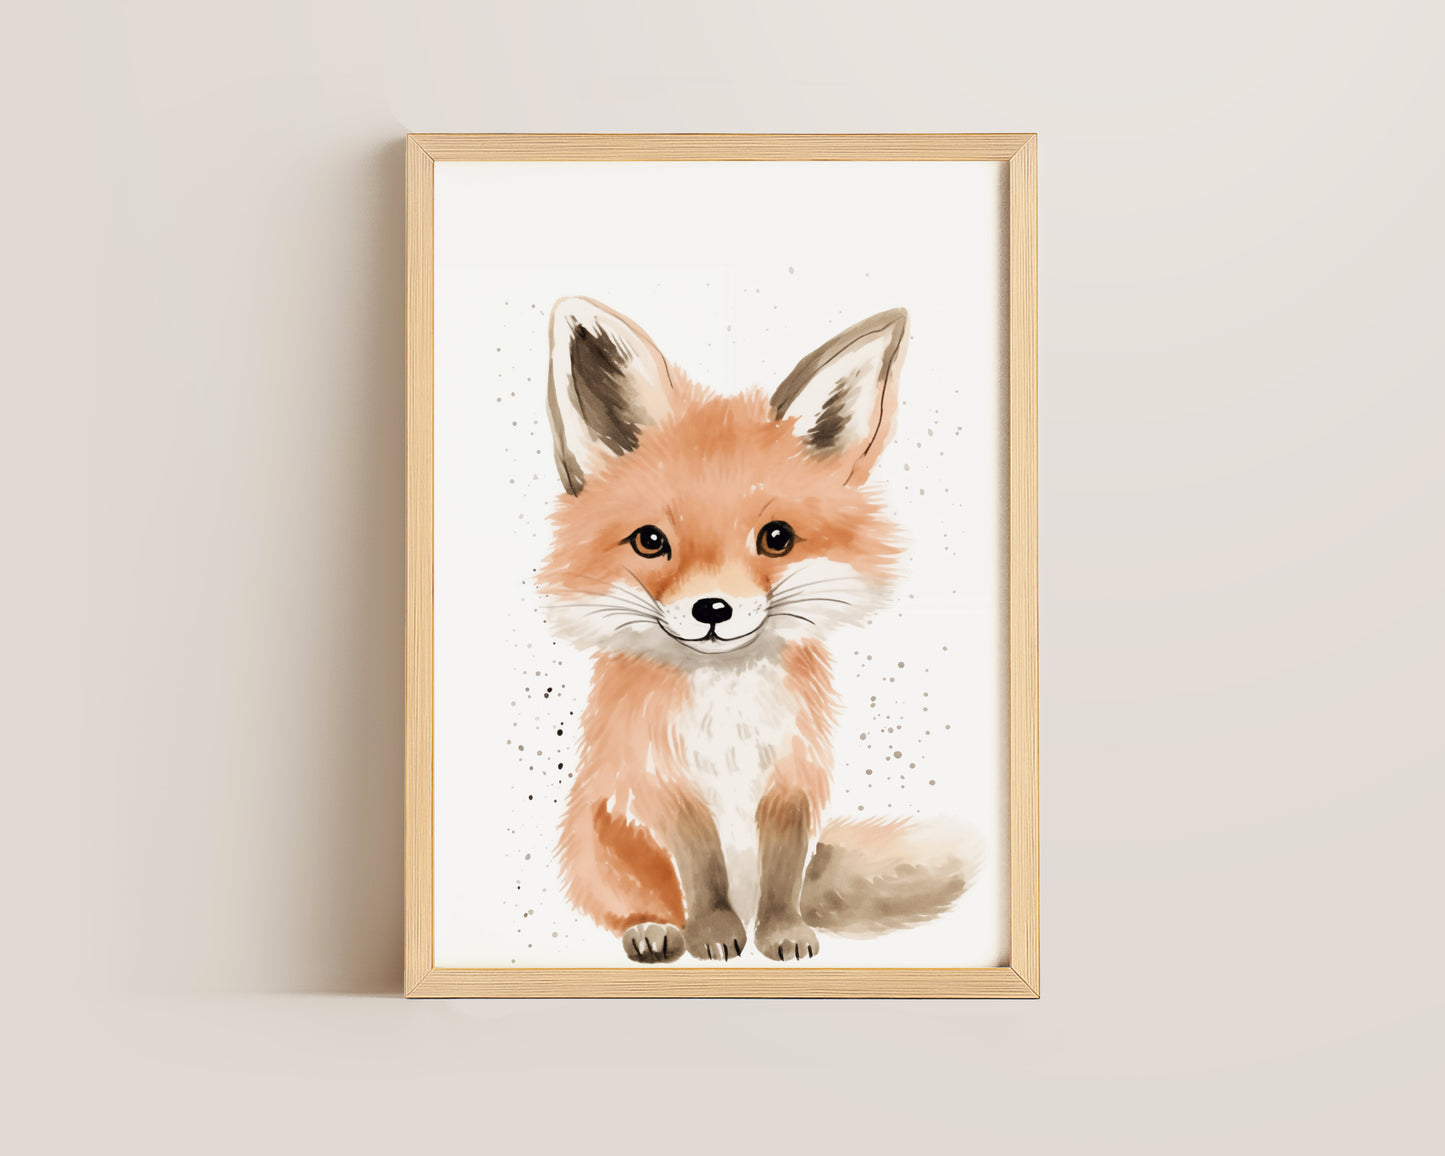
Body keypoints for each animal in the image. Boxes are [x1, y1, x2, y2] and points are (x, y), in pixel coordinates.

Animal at [538, 297, 971, 964]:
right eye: (650, 541)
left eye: (776, 538)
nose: (712, 609)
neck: (728, 709)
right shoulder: (663, 785)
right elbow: (701, 871)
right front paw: (714, 932)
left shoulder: (794, 781)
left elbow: (783, 874)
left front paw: (781, 933)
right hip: (597, 836)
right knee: (632, 899)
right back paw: (654, 929)